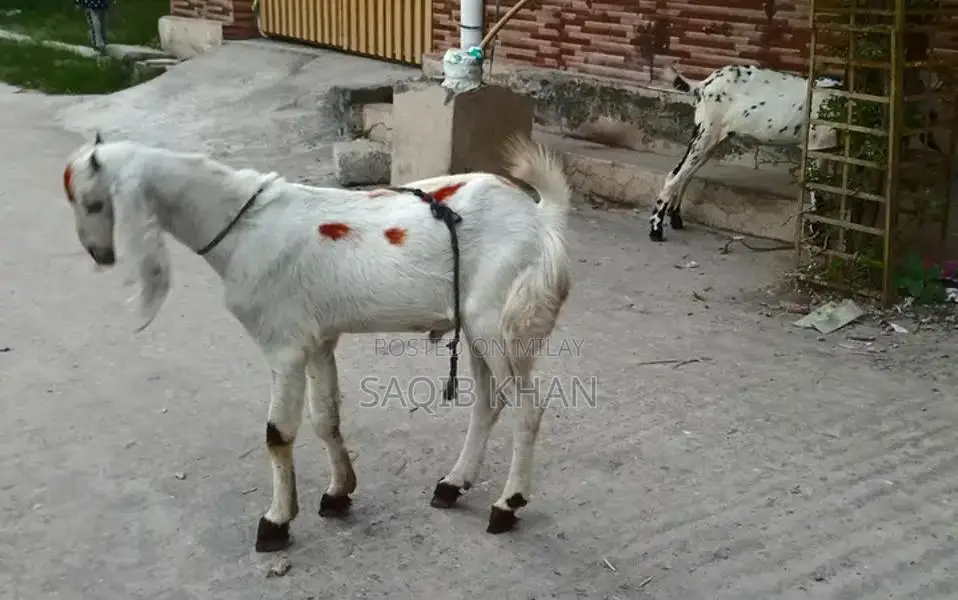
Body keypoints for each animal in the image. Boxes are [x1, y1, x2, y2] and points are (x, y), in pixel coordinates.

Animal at [62, 133, 573, 552]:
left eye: (93, 203)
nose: (99, 255)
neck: (242, 227)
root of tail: (539, 217)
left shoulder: (283, 345)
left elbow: (278, 433)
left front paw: (276, 522)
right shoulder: (319, 340)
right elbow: (325, 418)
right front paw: (338, 493)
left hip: (499, 320)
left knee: (527, 408)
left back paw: (507, 505)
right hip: (475, 324)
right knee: (488, 403)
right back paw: (453, 483)